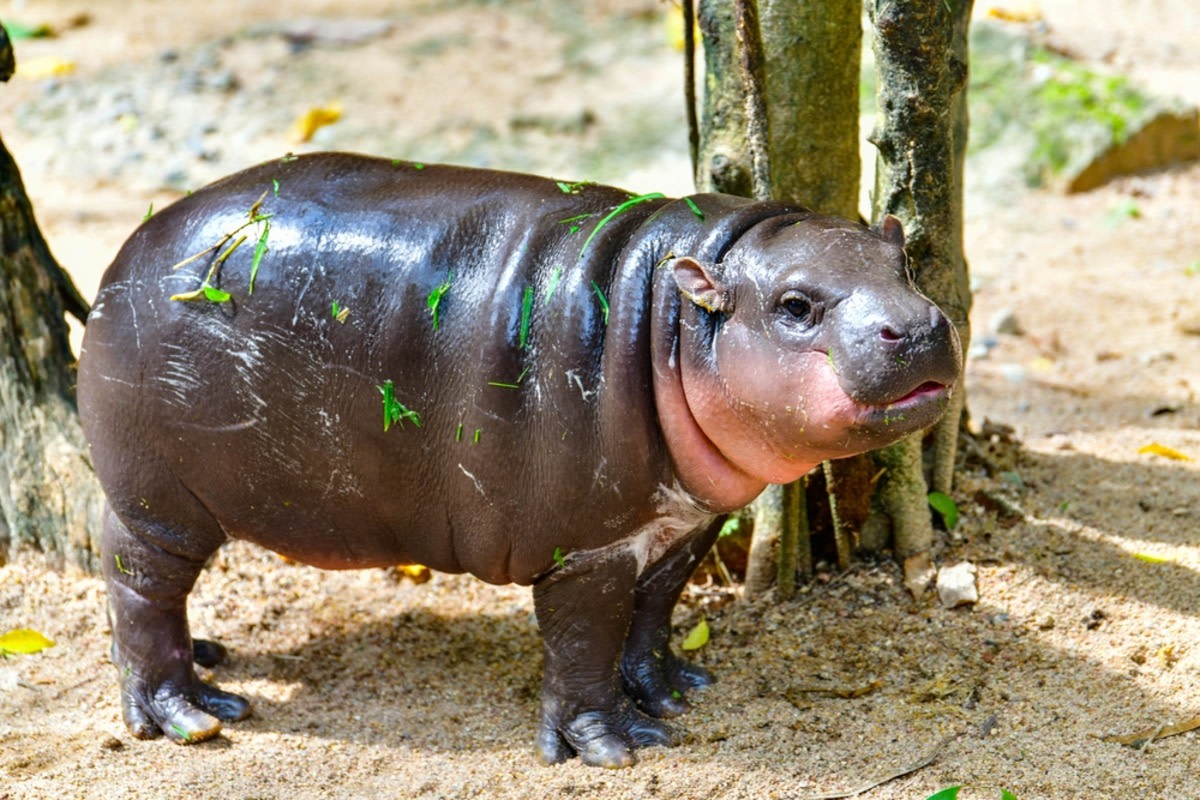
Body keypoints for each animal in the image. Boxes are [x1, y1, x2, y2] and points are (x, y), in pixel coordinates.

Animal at [77, 152, 961, 768]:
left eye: (904, 261)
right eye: (795, 305)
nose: (921, 326)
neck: (671, 315)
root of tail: (132, 243)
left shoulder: (684, 525)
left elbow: (653, 615)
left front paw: (675, 693)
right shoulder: (587, 549)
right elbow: (583, 644)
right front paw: (610, 746)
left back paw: (209, 661)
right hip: (158, 499)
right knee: (138, 584)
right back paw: (193, 713)